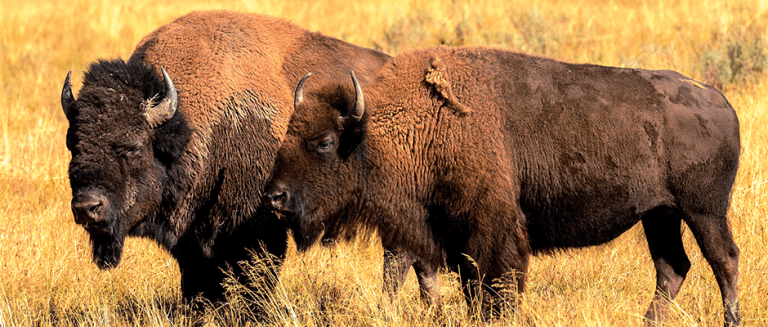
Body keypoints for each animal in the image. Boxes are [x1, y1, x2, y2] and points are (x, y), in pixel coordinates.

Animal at [60, 10, 392, 308]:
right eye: (73, 144)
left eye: (134, 146)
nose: (87, 207)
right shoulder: (194, 242)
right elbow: (200, 287)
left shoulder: (259, 230)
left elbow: (255, 286)